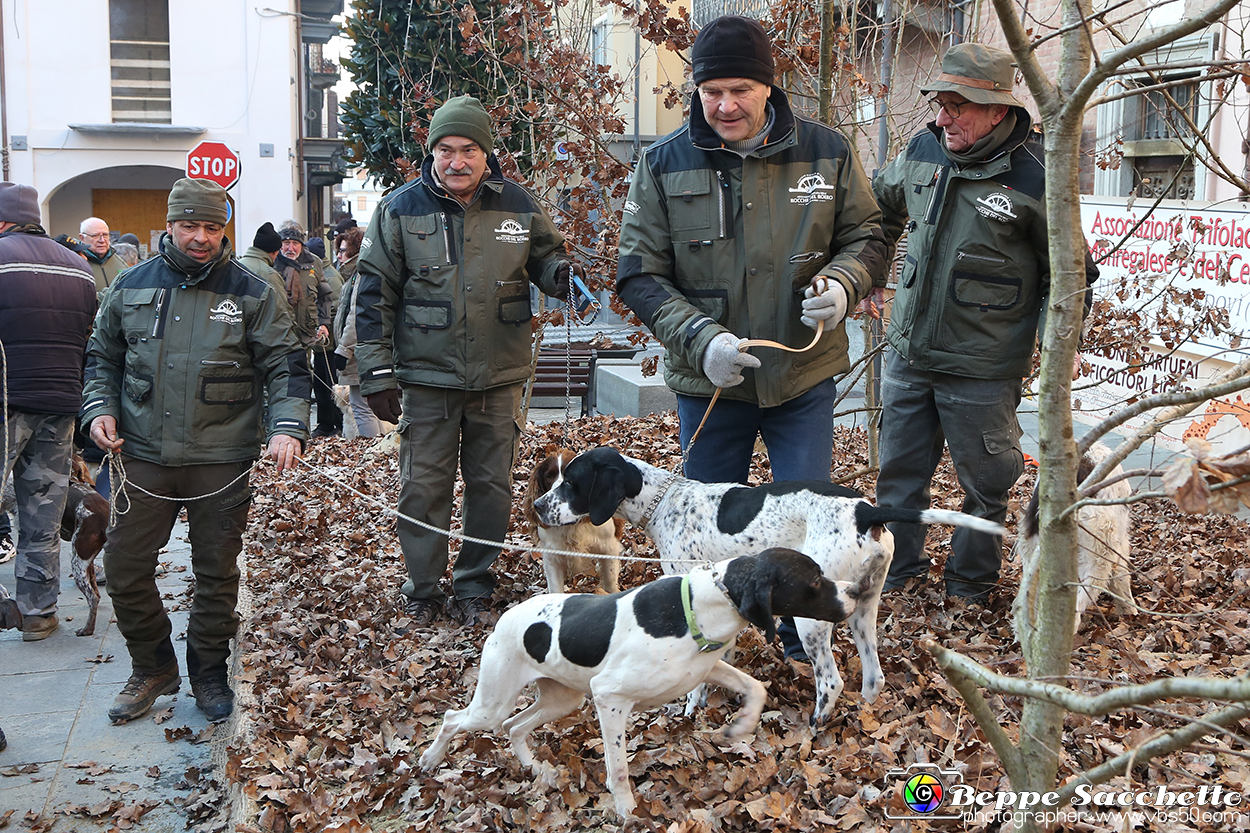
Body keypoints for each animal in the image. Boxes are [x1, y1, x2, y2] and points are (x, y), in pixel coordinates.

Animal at [532, 445, 1010, 725]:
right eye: (555, 480)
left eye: (571, 483)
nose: (536, 506)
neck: (665, 501)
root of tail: (865, 511)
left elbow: (696, 681)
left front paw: (689, 709)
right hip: (864, 608)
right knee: (873, 678)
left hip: (811, 617)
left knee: (831, 682)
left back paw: (813, 731)